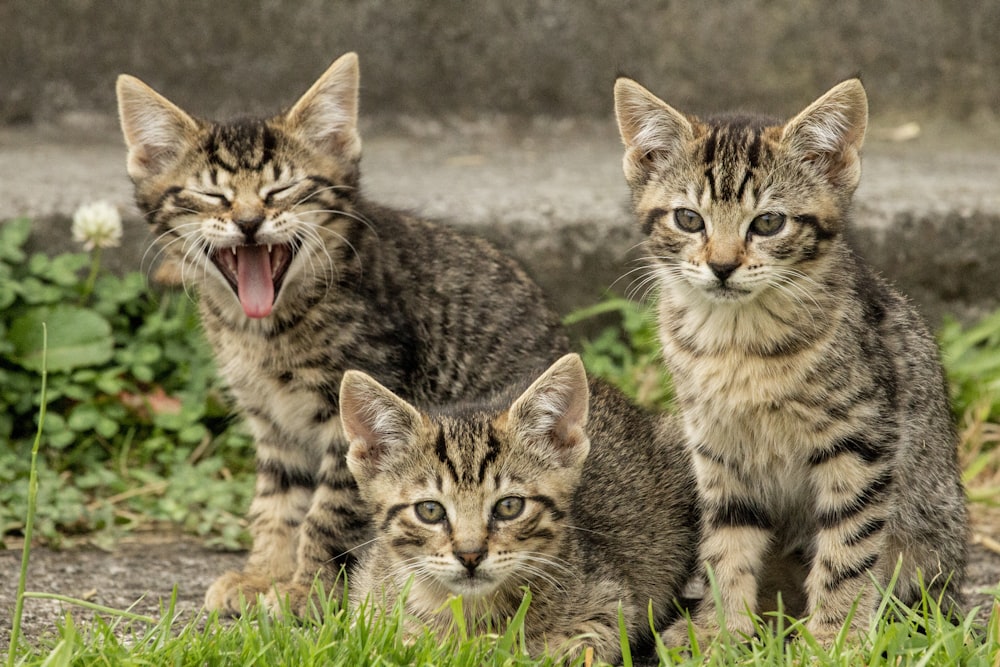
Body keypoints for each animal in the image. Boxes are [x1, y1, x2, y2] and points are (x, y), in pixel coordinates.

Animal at [113, 53, 568, 616]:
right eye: (212, 195)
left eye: (280, 190)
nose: (248, 222)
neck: (263, 334)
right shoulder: (273, 423)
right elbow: (276, 503)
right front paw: (263, 573)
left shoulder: (355, 410)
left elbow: (327, 513)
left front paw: (305, 591)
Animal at [340, 354, 700, 664]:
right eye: (430, 510)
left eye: (509, 506)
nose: (470, 555)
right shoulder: (366, 603)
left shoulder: (613, 600)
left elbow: (580, 643)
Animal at [612, 78, 964, 648]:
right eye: (689, 219)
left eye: (769, 222)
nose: (722, 266)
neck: (737, 342)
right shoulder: (718, 447)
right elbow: (726, 543)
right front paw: (719, 632)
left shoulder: (861, 440)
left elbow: (847, 547)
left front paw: (833, 640)